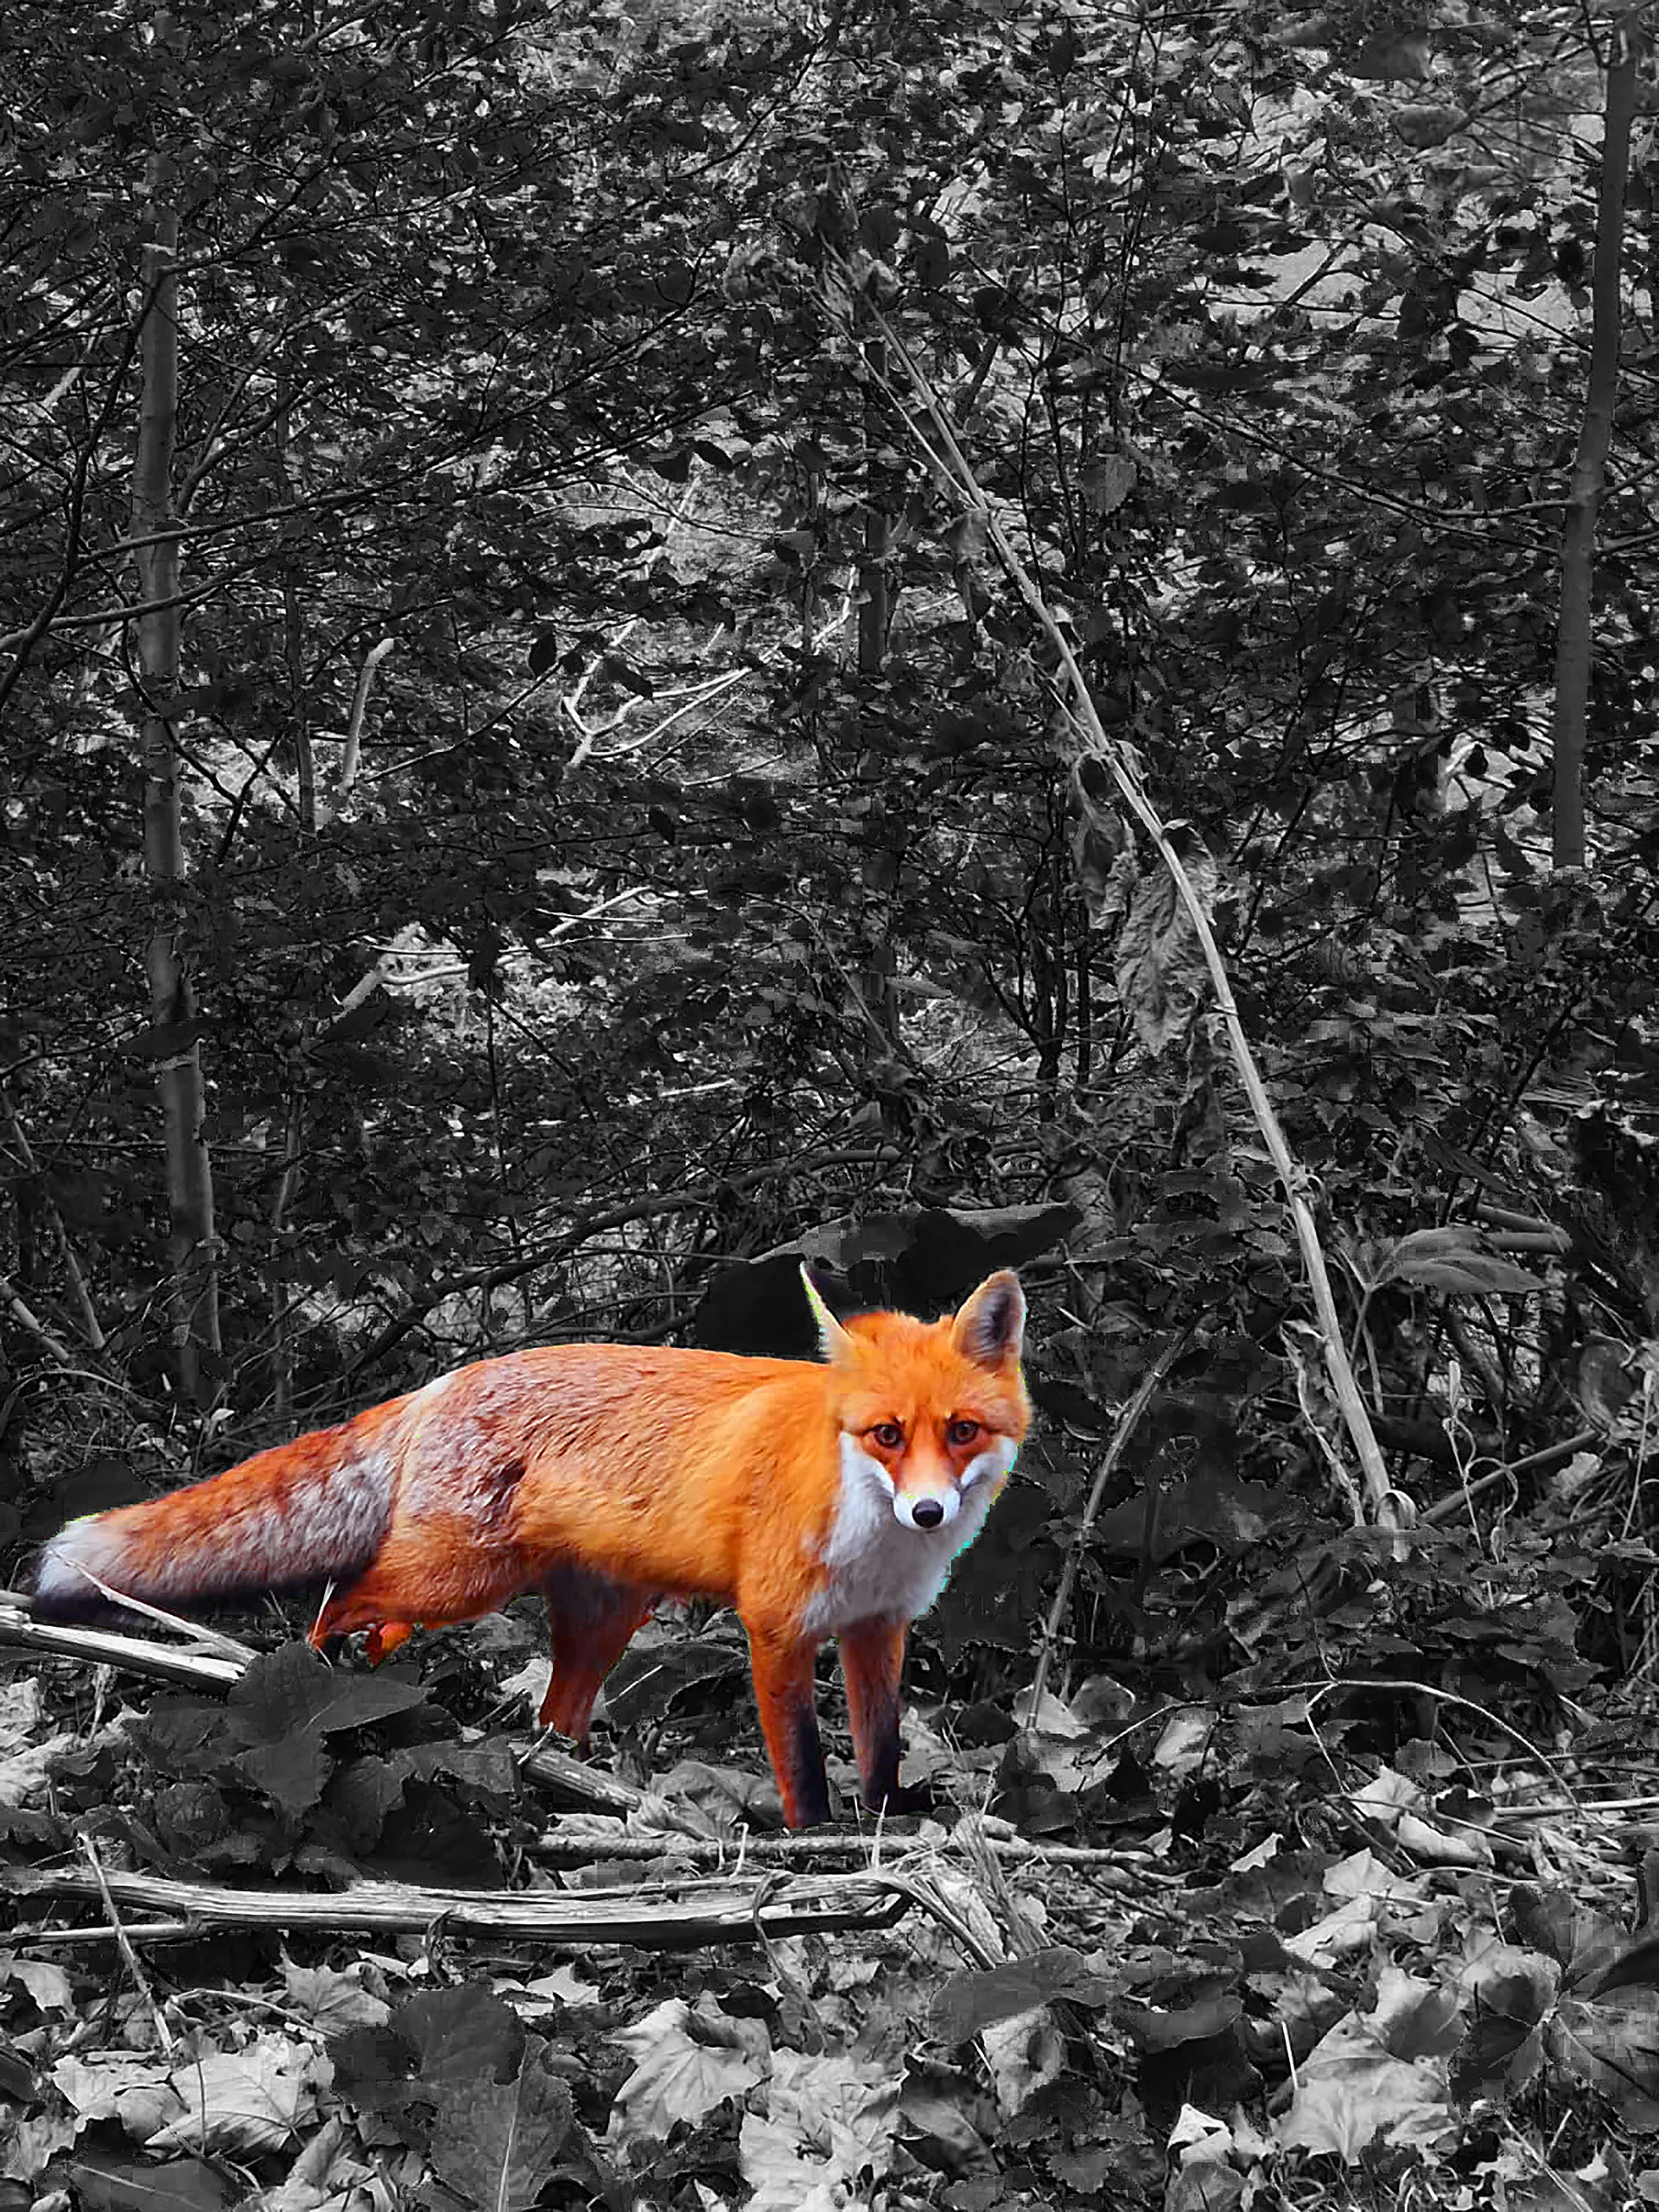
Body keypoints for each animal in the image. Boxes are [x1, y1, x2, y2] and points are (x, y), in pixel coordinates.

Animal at [31, 1268, 1029, 1826]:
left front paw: (892, 1823)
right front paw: (819, 1841)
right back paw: (317, 1688)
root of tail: (446, 1378)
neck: (873, 1540)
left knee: (546, 1712)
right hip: (456, 1580)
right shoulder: (777, 1627)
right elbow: (803, 1758)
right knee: (342, 1597)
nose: (929, 1513)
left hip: (597, 1621)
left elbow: (883, 1745)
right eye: (887, 1436)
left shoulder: (878, 1628)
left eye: (963, 1431)